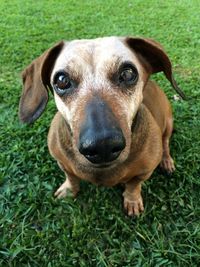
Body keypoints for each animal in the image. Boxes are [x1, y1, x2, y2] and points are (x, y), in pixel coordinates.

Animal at [18, 36, 184, 217]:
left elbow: (133, 186)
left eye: (128, 73)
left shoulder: (144, 172)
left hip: (168, 125)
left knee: (165, 143)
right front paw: (69, 189)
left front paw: (132, 200)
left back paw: (166, 161)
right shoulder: (61, 162)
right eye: (61, 80)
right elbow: (71, 176)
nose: (102, 145)